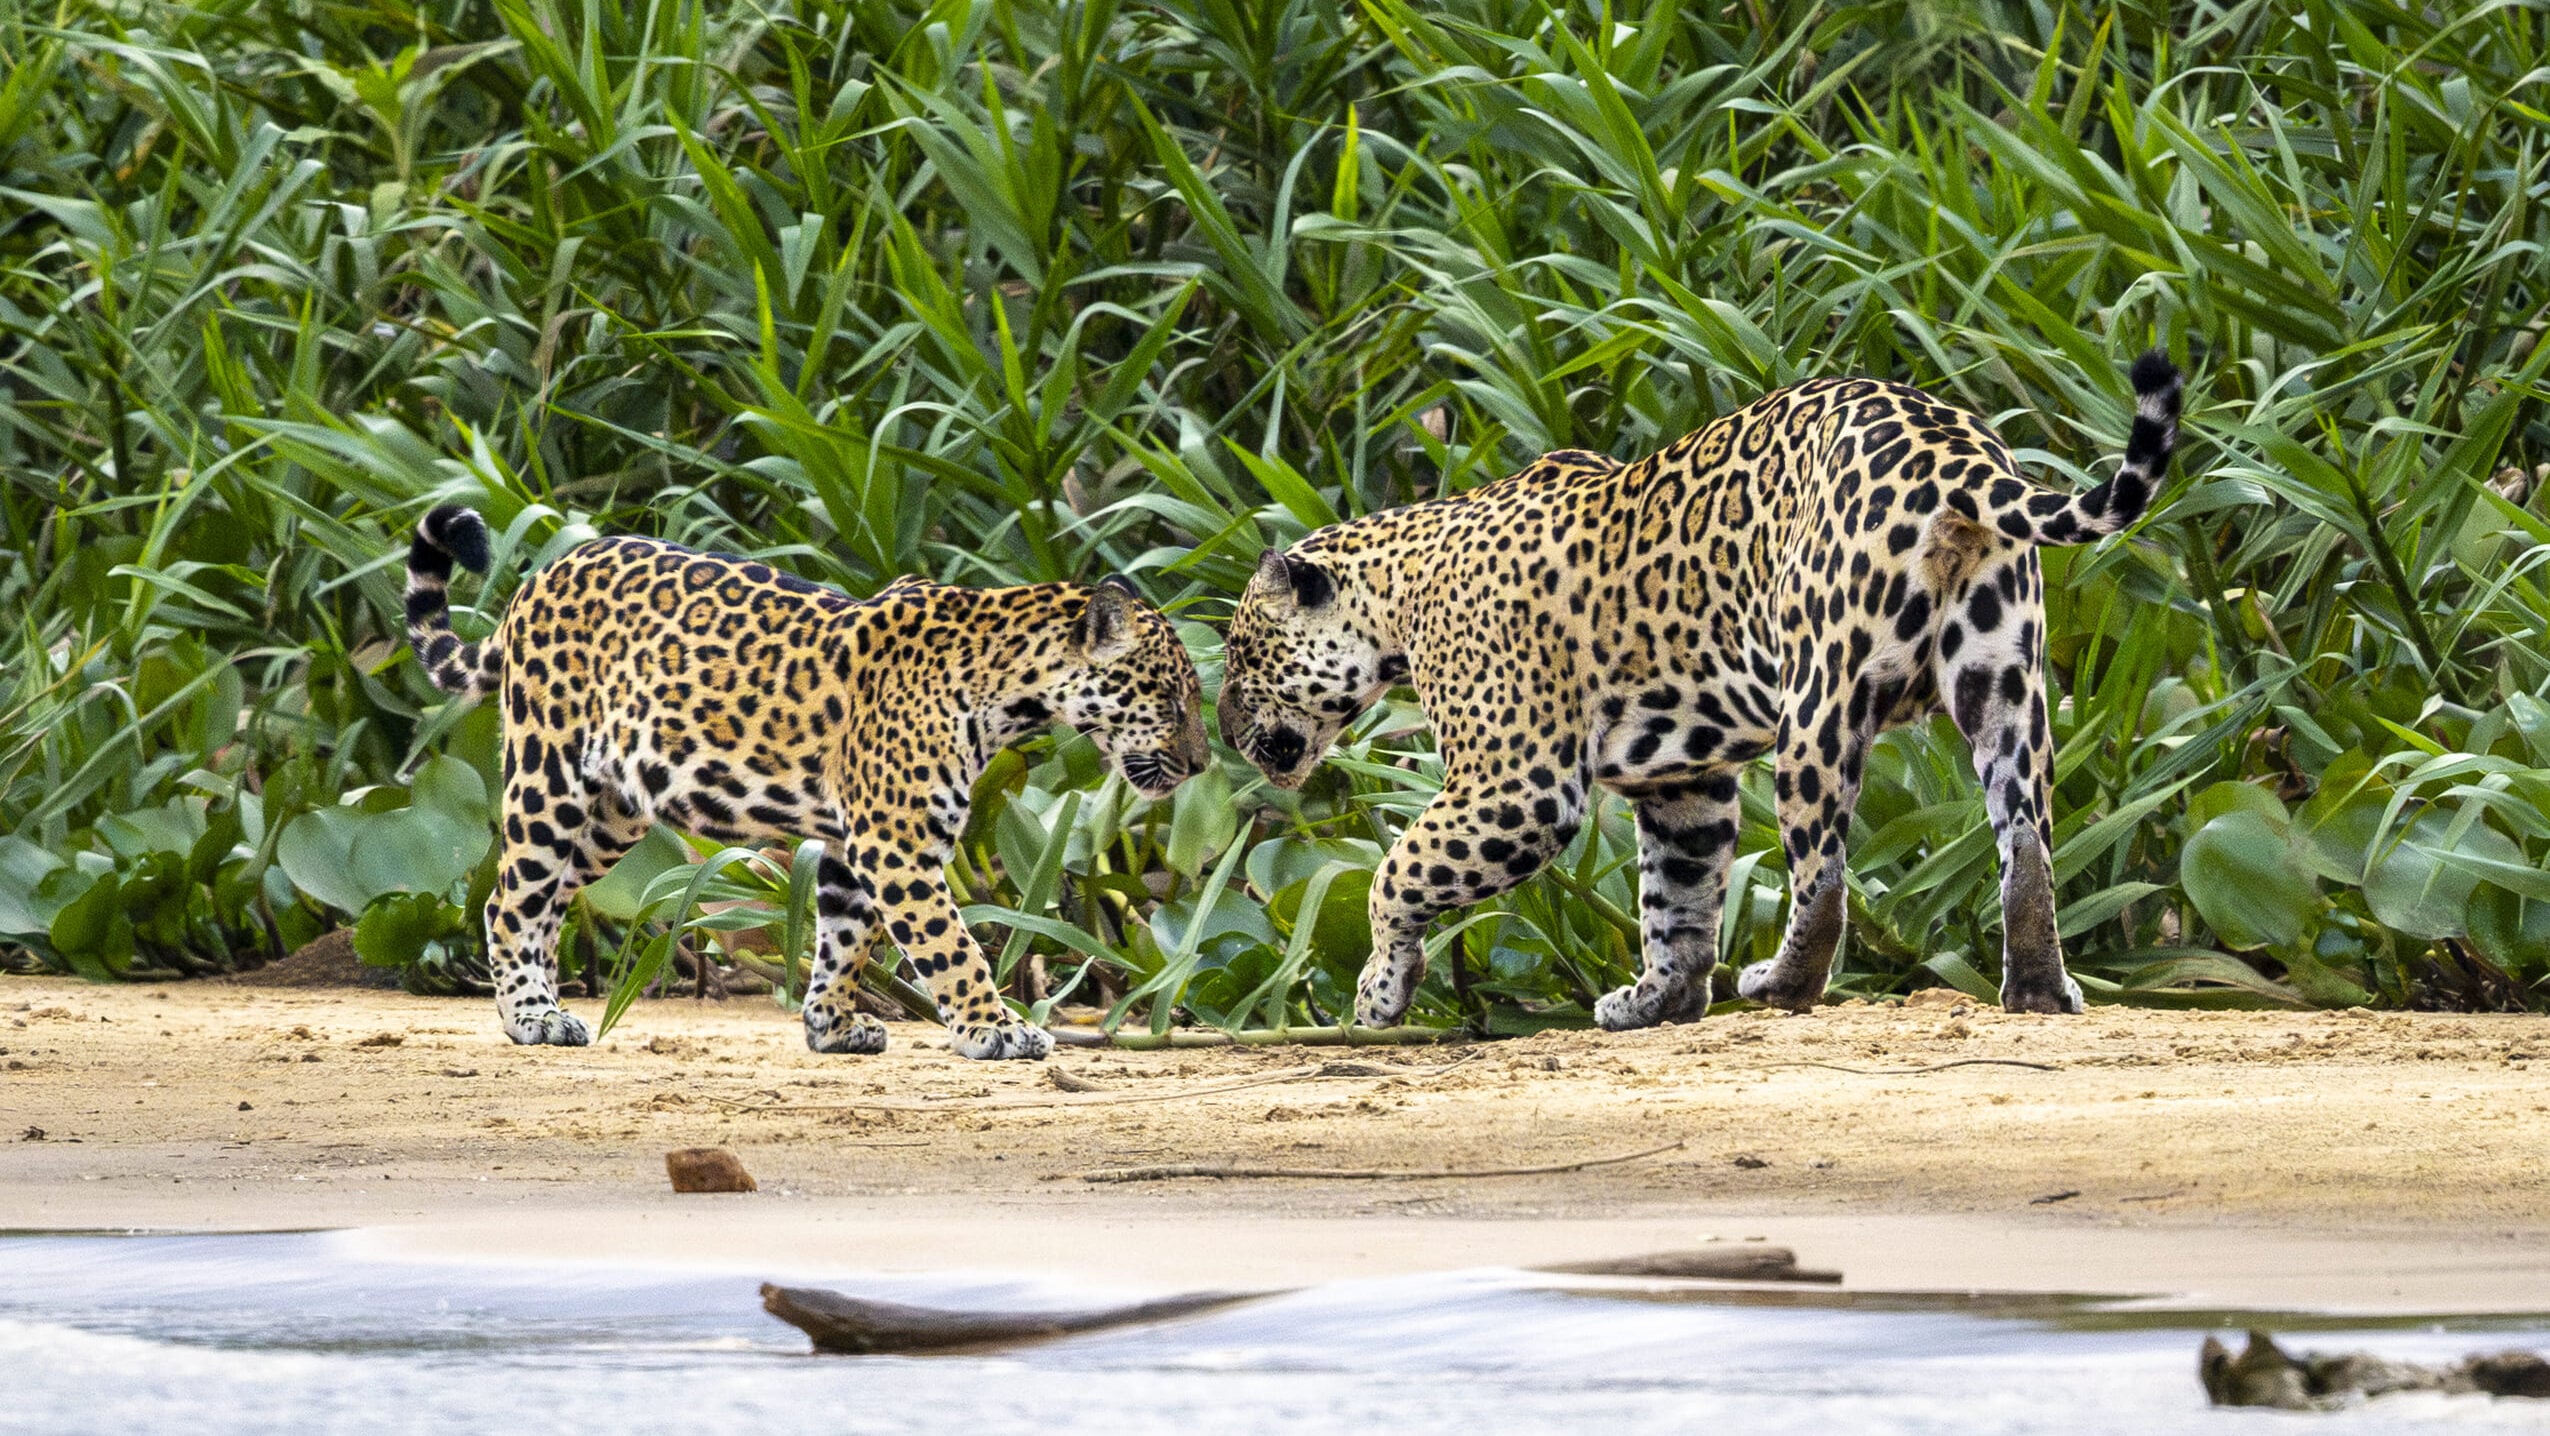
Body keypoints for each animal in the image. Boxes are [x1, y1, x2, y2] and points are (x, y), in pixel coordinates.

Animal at [403, 506, 1210, 1059]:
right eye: (1171, 700)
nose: (1203, 765)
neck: (1008, 691)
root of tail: (538, 579)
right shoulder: (898, 845)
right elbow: (952, 946)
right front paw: (995, 1029)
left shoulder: (857, 848)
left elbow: (845, 941)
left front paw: (832, 1024)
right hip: (550, 776)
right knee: (509, 899)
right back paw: (530, 1015)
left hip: (614, 811)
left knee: (543, 903)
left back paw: (539, 1003)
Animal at [1218, 352, 2182, 1030]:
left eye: (1237, 656)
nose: (1222, 729)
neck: (1399, 593)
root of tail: (1950, 448)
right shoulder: (1682, 778)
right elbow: (1678, 896)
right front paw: (1660, 1001)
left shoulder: (1517, 787)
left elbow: (1394, 872)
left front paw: (1379, 993)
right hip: (2005, 680)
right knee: (2025, 842)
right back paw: (2040, 988)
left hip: (1816, 695)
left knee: (1824, 873)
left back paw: (1783, 984)